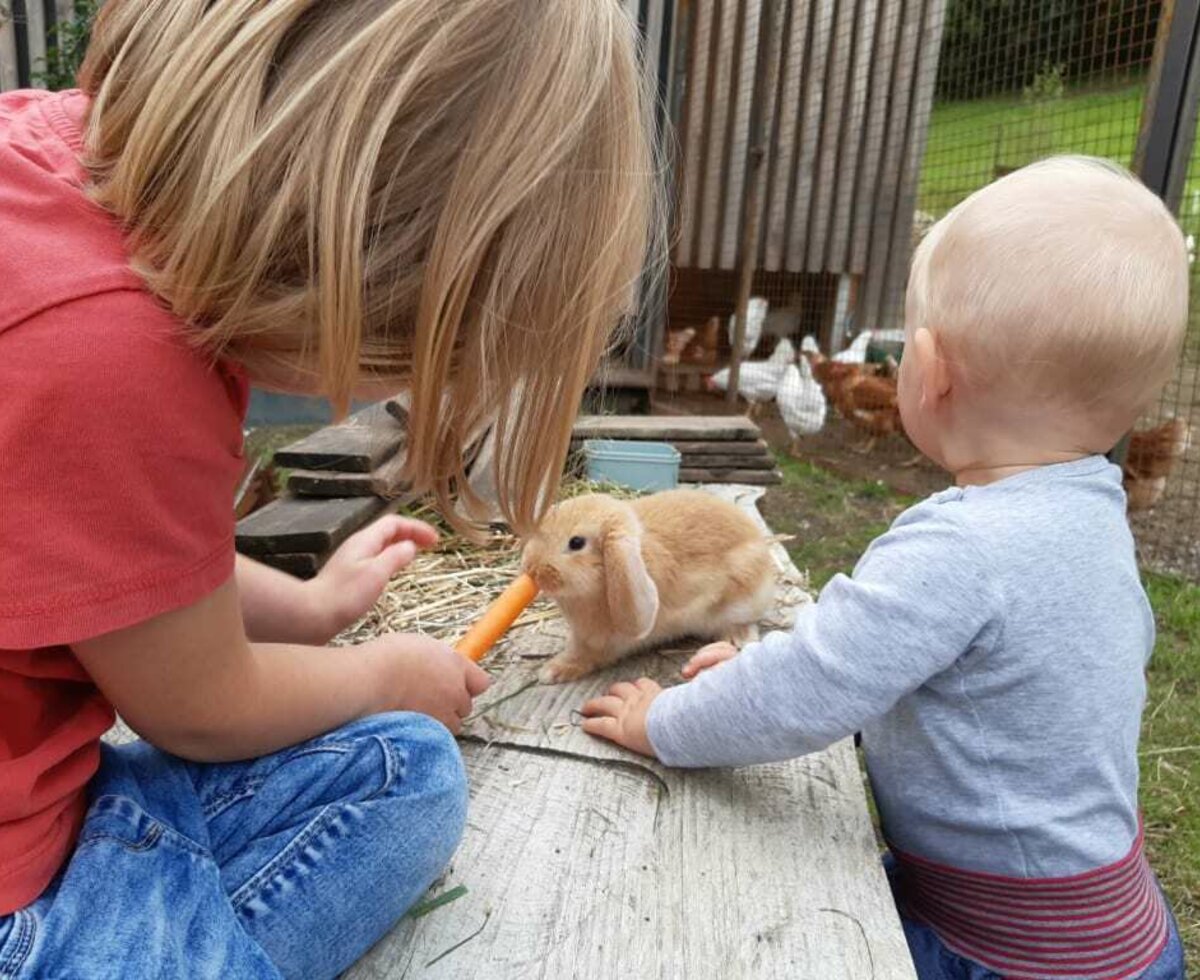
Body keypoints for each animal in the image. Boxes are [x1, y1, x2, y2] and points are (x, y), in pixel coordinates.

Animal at [520, 487, 772, 681]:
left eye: (576, 543)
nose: (531, 568)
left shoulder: (602, 642)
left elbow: (585, 656)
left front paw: (551, 672)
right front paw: (552, 669)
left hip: (741, 598)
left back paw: (740, 637)